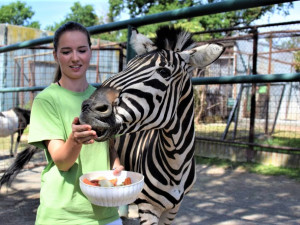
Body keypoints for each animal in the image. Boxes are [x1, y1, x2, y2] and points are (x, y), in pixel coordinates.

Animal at [79, 25, 225, 224]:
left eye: (164, 72)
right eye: (127, 66)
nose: (88, 108)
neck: (175, 162)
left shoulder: (173, 209)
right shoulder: (148, 206)